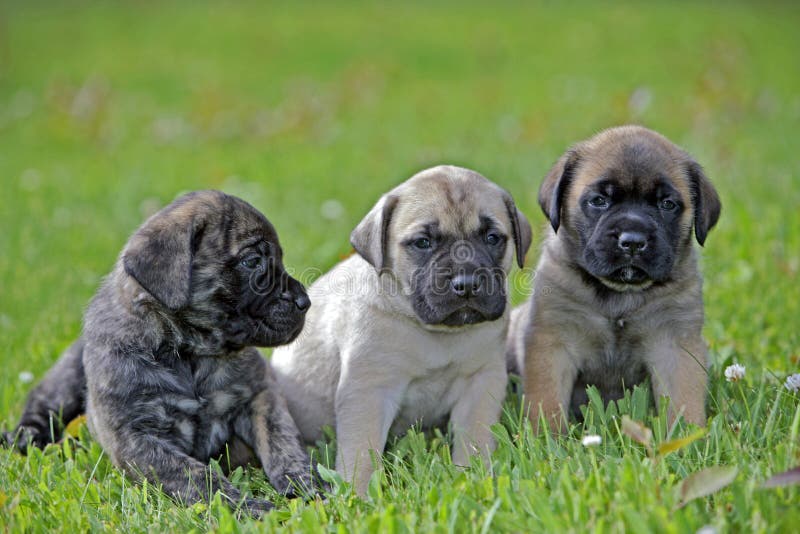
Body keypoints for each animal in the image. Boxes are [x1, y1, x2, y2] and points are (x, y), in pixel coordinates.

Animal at [4, 192, 314, 516]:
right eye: (252, 261)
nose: (305, 301)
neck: (189, 353)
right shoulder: (136, 437)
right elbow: (196, 476)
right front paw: (245, 506)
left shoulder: (260, 394)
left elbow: (281, 440)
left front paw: (306, 484)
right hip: (66, 379)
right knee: (42, 402)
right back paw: (26, 436)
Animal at [270, 165, 532, 496]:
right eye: (423, 243)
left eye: (492, 238)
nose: (468, 283)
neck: (438, 333)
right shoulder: (369, 392)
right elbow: (361, 452)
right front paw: (360, 496)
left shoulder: (481, 383)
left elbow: (475, 438)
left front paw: (474, 478)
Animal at [510, 126, 720, 436]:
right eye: (599, 200)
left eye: (667, 204)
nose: (632, 241)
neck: (620, 296)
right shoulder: (552, 343)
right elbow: (546, 402)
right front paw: (546, 439)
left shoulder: (675, 346)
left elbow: (684, 400)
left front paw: (687, 439)